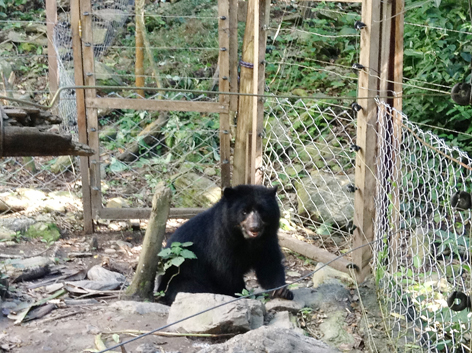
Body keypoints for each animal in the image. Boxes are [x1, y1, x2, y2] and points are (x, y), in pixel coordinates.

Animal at [157, 183, 294, 304]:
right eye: (244, 211)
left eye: (262, 211)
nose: (254, 227)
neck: (247, 240)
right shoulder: (221, 241)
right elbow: (226, 271)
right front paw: (243, 294)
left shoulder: (268, 239)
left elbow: (269, 264)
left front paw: (282, 291)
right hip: (182, 276)